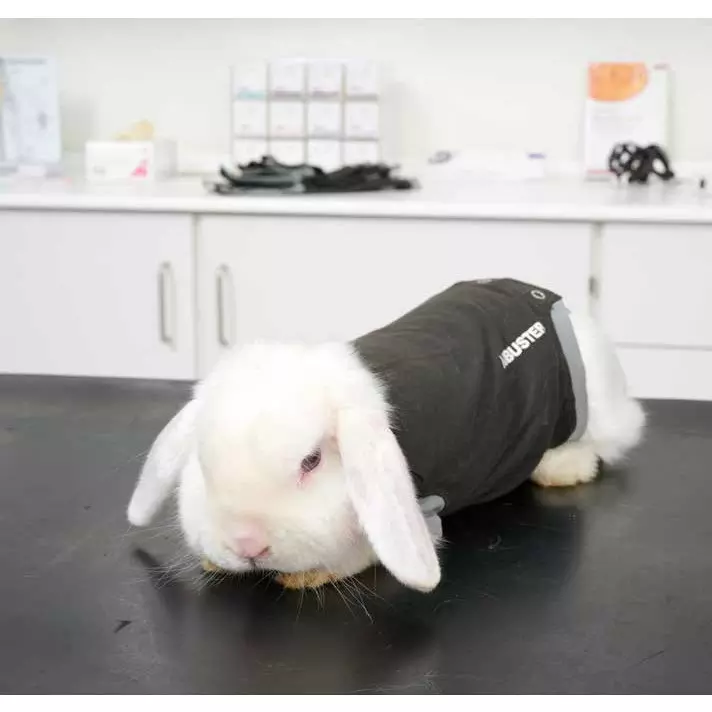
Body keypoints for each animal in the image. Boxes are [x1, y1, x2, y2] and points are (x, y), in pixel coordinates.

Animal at [127, 279, 645, 593]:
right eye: (203, 465)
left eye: (311, 461)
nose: (247, 545)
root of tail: (555, 301)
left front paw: (304, 577)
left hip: (590, 415)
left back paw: (562, 469)